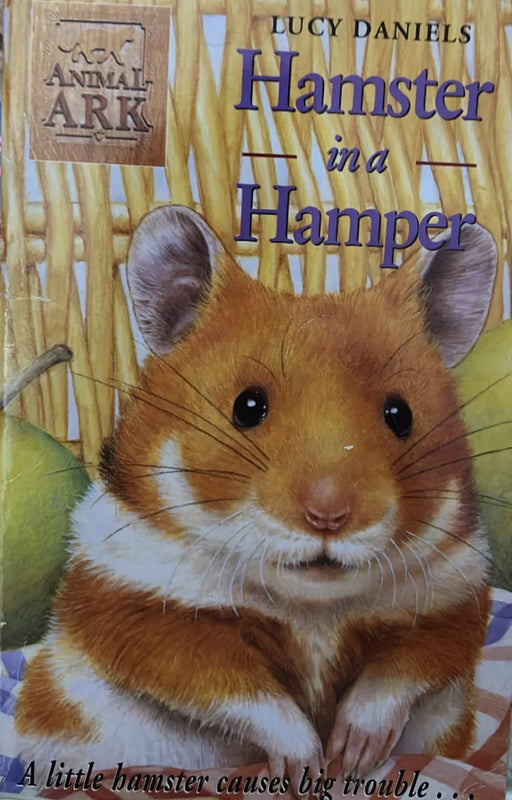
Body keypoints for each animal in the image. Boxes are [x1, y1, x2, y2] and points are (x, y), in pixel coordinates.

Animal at [15, 205, 497, 790]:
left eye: (400, 414)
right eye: (248, 406)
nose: (328, 517)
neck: (311, 608)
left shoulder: (454, 603)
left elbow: (403, 669)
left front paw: (351, 753)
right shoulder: (138, 613)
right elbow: (240, 690)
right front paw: (306, 764)